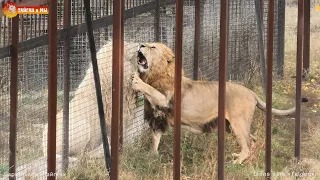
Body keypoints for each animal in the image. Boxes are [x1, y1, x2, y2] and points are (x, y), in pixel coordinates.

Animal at [131, 42, 296, 165]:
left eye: (153, 47)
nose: (141, 44)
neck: (155, 74)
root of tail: (252, 93)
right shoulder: (158, 117)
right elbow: (155, 138)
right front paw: (151, 155)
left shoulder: (167, 101)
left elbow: (151, 90)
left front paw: (137, 81)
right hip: (232, 126)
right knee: (252, 140)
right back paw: (243, 157)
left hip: (238, 123)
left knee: (247, 147)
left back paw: (236, 163)